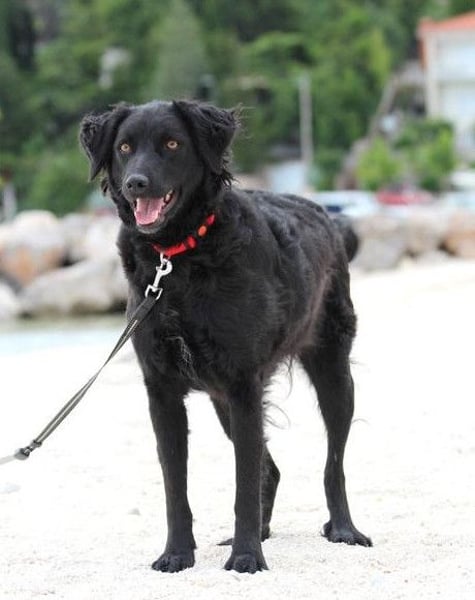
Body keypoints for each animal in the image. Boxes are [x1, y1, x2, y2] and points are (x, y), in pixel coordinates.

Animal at [79, 99, 371, 574]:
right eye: (124, 147)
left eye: (172, 144)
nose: (135, 183)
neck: (178, 258)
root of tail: (326, 215)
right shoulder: (163, 391)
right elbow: (175, 487)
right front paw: (178, 554)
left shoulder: (243, 385)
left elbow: (243, 483)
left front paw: (247, 556)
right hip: (222, 402)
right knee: (271, 469)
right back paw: (264, 532)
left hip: (333, 373)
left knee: (333, 464)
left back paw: (344, 529)